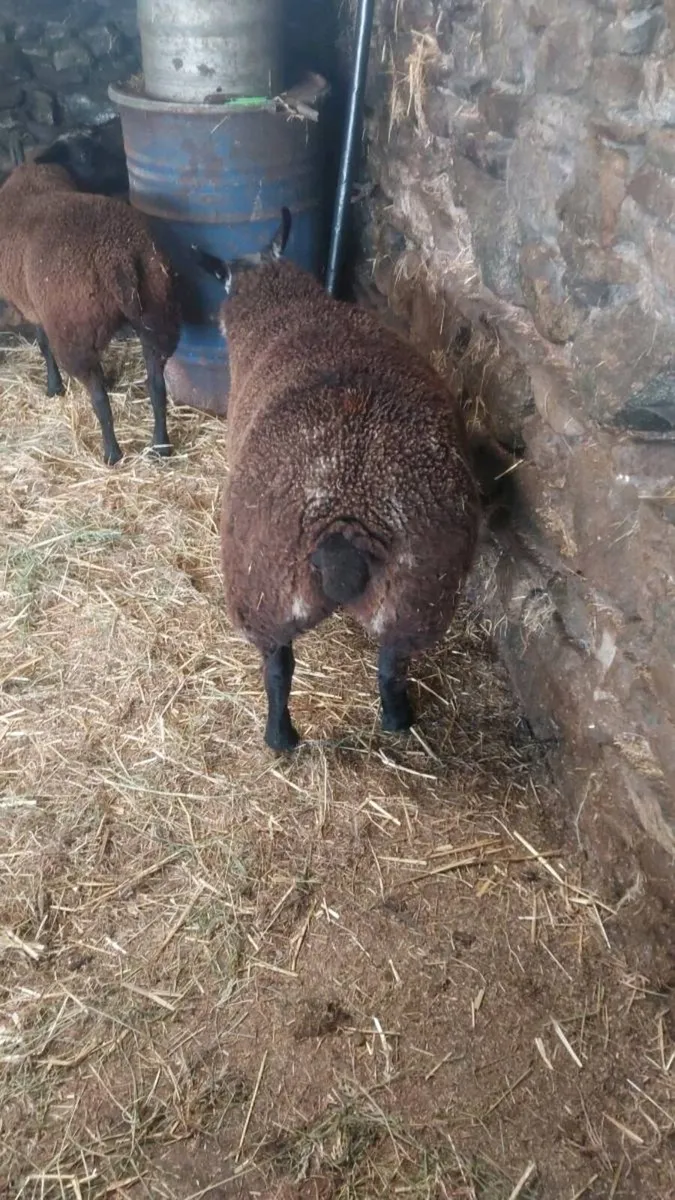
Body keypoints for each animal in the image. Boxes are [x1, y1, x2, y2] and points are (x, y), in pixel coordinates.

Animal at [0, 141, 179, 465]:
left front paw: (53, 387)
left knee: (99, 400)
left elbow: (43, 345)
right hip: (158, 313)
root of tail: (118, 257)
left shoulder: (36, 308)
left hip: (74, 332)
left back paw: (111, 453)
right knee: (157, 387)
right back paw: (160, 447)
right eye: (86, 152)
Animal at [193, 209, 481, 752]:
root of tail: (347, 521)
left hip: (261, 593)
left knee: (279, 668)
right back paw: (397, 719)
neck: (289, 313)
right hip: (417, 599)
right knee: (392, 664)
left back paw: (280, 738)